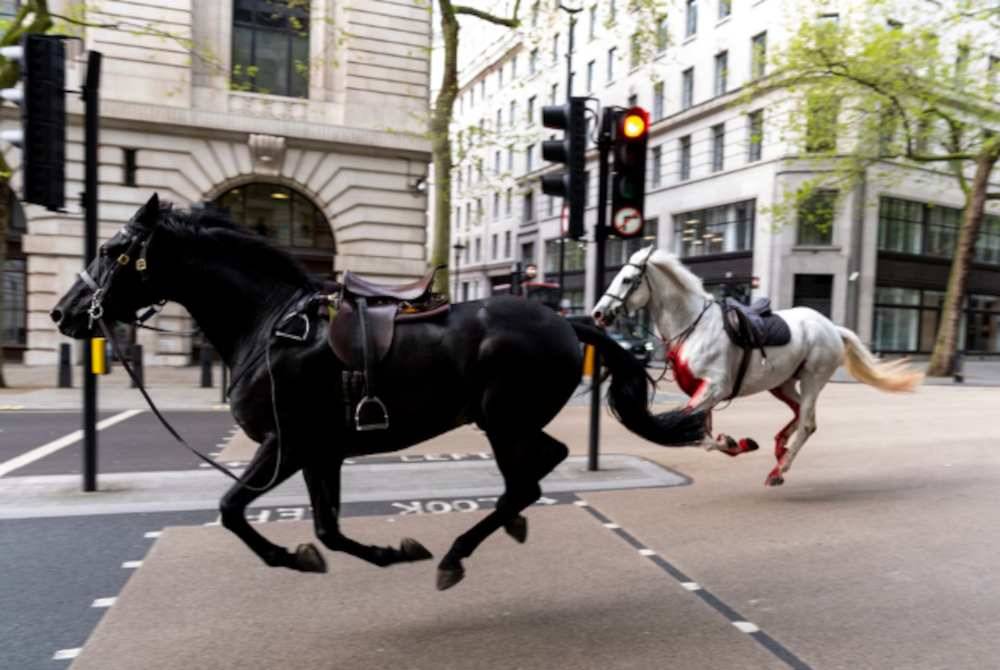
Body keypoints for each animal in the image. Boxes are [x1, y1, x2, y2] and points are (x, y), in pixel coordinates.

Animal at [52, 193, 704, 588]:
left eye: (111, 250)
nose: (64, 313)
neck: (269, 323)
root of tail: (566, 322)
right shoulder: (321, 452)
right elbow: (327, 529)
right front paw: (384, 552)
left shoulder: (287, 444)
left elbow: (232, 510)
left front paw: (289, 557)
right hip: (509, 421)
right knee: (541, 467)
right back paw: (504, 526)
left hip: (502, 420)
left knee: (527, 479)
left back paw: (458, 553)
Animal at [588, 247, 924, 488]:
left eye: (627, 279)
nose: (598, 313)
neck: (694, 326)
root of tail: (831, 327)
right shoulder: (702, 392)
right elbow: (699, 433)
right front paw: (735, 442)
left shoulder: (713, 388)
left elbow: (682, 429)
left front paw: (733, 442)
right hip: (782, 383)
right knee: (799, 414)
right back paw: (779, 450)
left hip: (813, 379)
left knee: (807, 423)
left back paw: (779, 469)